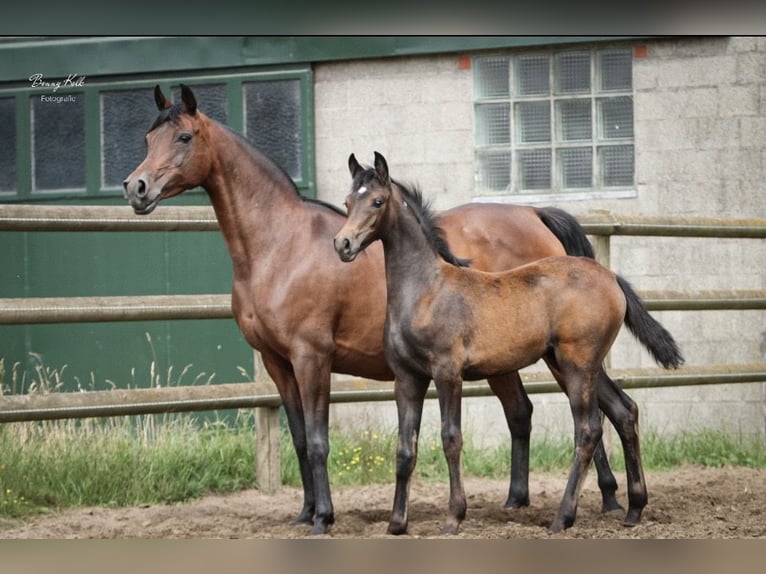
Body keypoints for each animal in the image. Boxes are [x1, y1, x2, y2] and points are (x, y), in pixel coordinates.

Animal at [124, 84, 646, 534]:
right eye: (148, 136)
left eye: (184, 137)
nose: (137, 188)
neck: (279, 246)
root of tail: (536, 215)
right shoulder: (277, 363)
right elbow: (299, 439)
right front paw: (305, 512)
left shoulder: (312, 356)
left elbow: (319, 441)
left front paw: (324, 517)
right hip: (524, 361)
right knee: (544, 413)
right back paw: (550, 502)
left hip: (559, 358)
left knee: (592, 417)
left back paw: (600, 502)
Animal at [334, 152, 683, 534]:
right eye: (348, 202)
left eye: (377, 201)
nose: (343, 244)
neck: (426, 290)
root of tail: (610, 276)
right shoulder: (407, 378)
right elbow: (404, 449)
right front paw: (397, 524)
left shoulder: (447, 373)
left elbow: (450, 438)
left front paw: (454, 517)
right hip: (577, 363)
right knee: (624, 411)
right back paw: (634, 509)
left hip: (577, 363)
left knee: (589, 429)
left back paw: (563, 517)